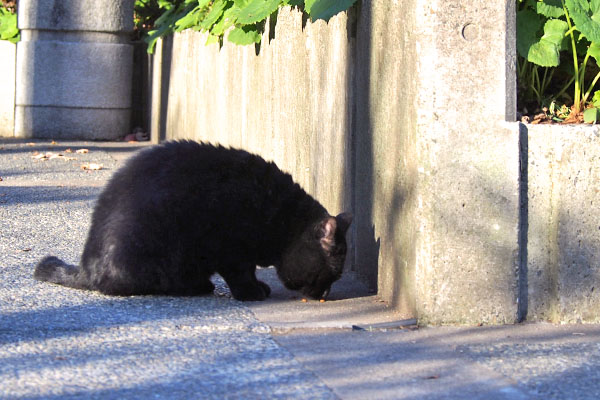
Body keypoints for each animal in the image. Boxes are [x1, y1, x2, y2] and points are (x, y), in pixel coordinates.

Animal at [32, 141, 352, 300]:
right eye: (331, 274)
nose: (326, 294)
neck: (280, 217)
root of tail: (86, 267)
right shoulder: (232, 249)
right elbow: (242, 275)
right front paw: (252, 292)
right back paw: (196, 287)